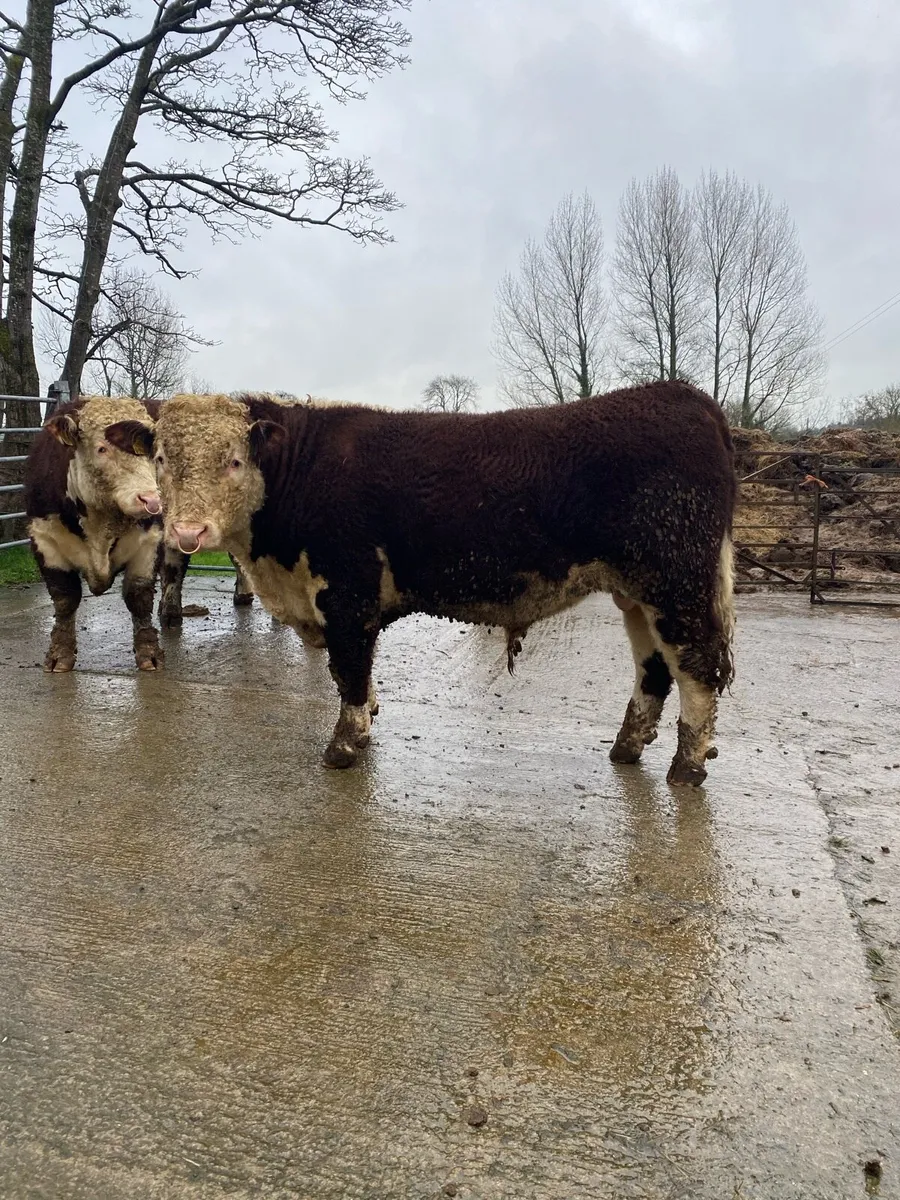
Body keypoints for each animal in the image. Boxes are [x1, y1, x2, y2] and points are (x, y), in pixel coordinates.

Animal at [25, 396, 164, 672]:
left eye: (154, 455)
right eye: (101, 449)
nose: (151, 500)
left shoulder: (151, 541)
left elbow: (139, 596)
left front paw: (149, 653)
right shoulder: (44, 539)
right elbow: (65, 597)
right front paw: (59, 654)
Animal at [106, 381, 736, 786]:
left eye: (234, 460)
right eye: (160, 458)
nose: (187, 530)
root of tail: (685, 395)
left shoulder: (348, 588)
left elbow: (350, 667)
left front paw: (344, 745)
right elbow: (354, 671)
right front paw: (366, 724)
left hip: (677, 581)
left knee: (698, 666)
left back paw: (688, 767)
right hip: (639, 591)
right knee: (655, 667)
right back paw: (627, 748)